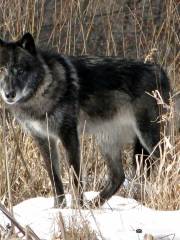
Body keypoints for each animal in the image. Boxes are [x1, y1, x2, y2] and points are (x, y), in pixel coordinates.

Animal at [0, 33, 170, 206]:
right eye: (1, 69)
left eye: (20, 70)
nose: (9, 94)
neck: (42, 91)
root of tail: (160, 70)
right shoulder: (43, 139)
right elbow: (55, 177)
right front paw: (59, 207)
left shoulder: (68, 134)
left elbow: (75, 177)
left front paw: (77, 207)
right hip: (107, 141)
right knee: (118, 176)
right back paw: (94, 205)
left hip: (148, 138)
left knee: (167, 162)